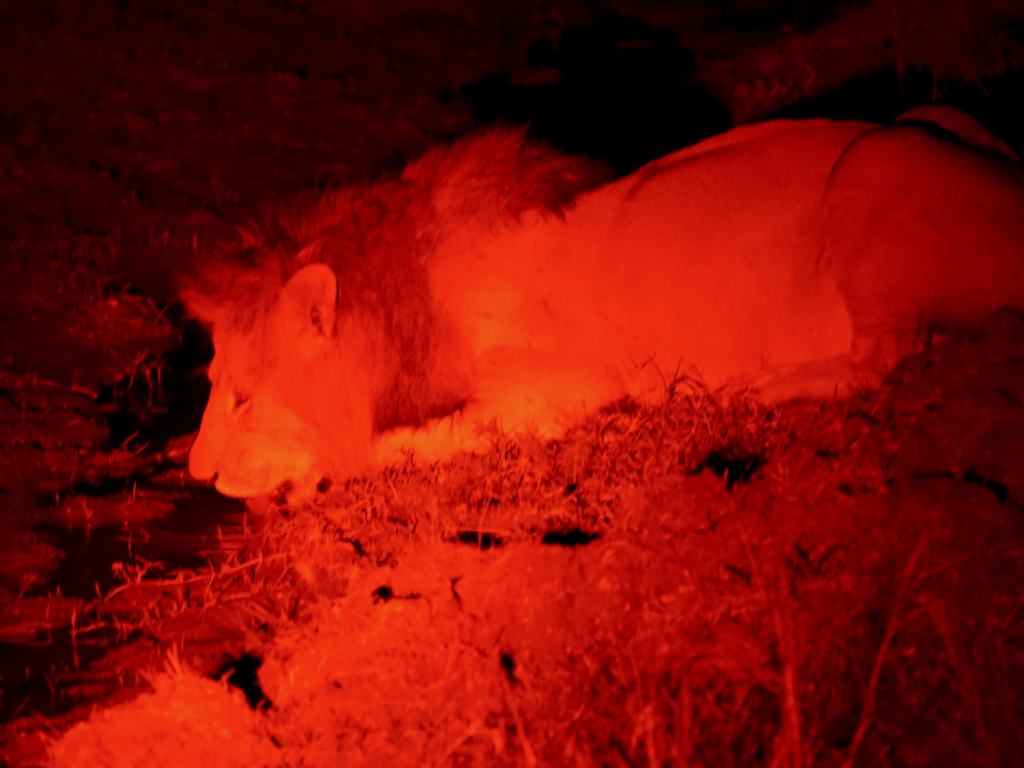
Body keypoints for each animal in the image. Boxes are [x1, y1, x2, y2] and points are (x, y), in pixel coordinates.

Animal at [184, 111, 1024, 501]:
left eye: (245, 399)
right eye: (214, 387)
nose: (197, 475)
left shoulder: (568, 383)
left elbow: (403, 443)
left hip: (873, 160)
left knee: (887, 356)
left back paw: (759, 389)